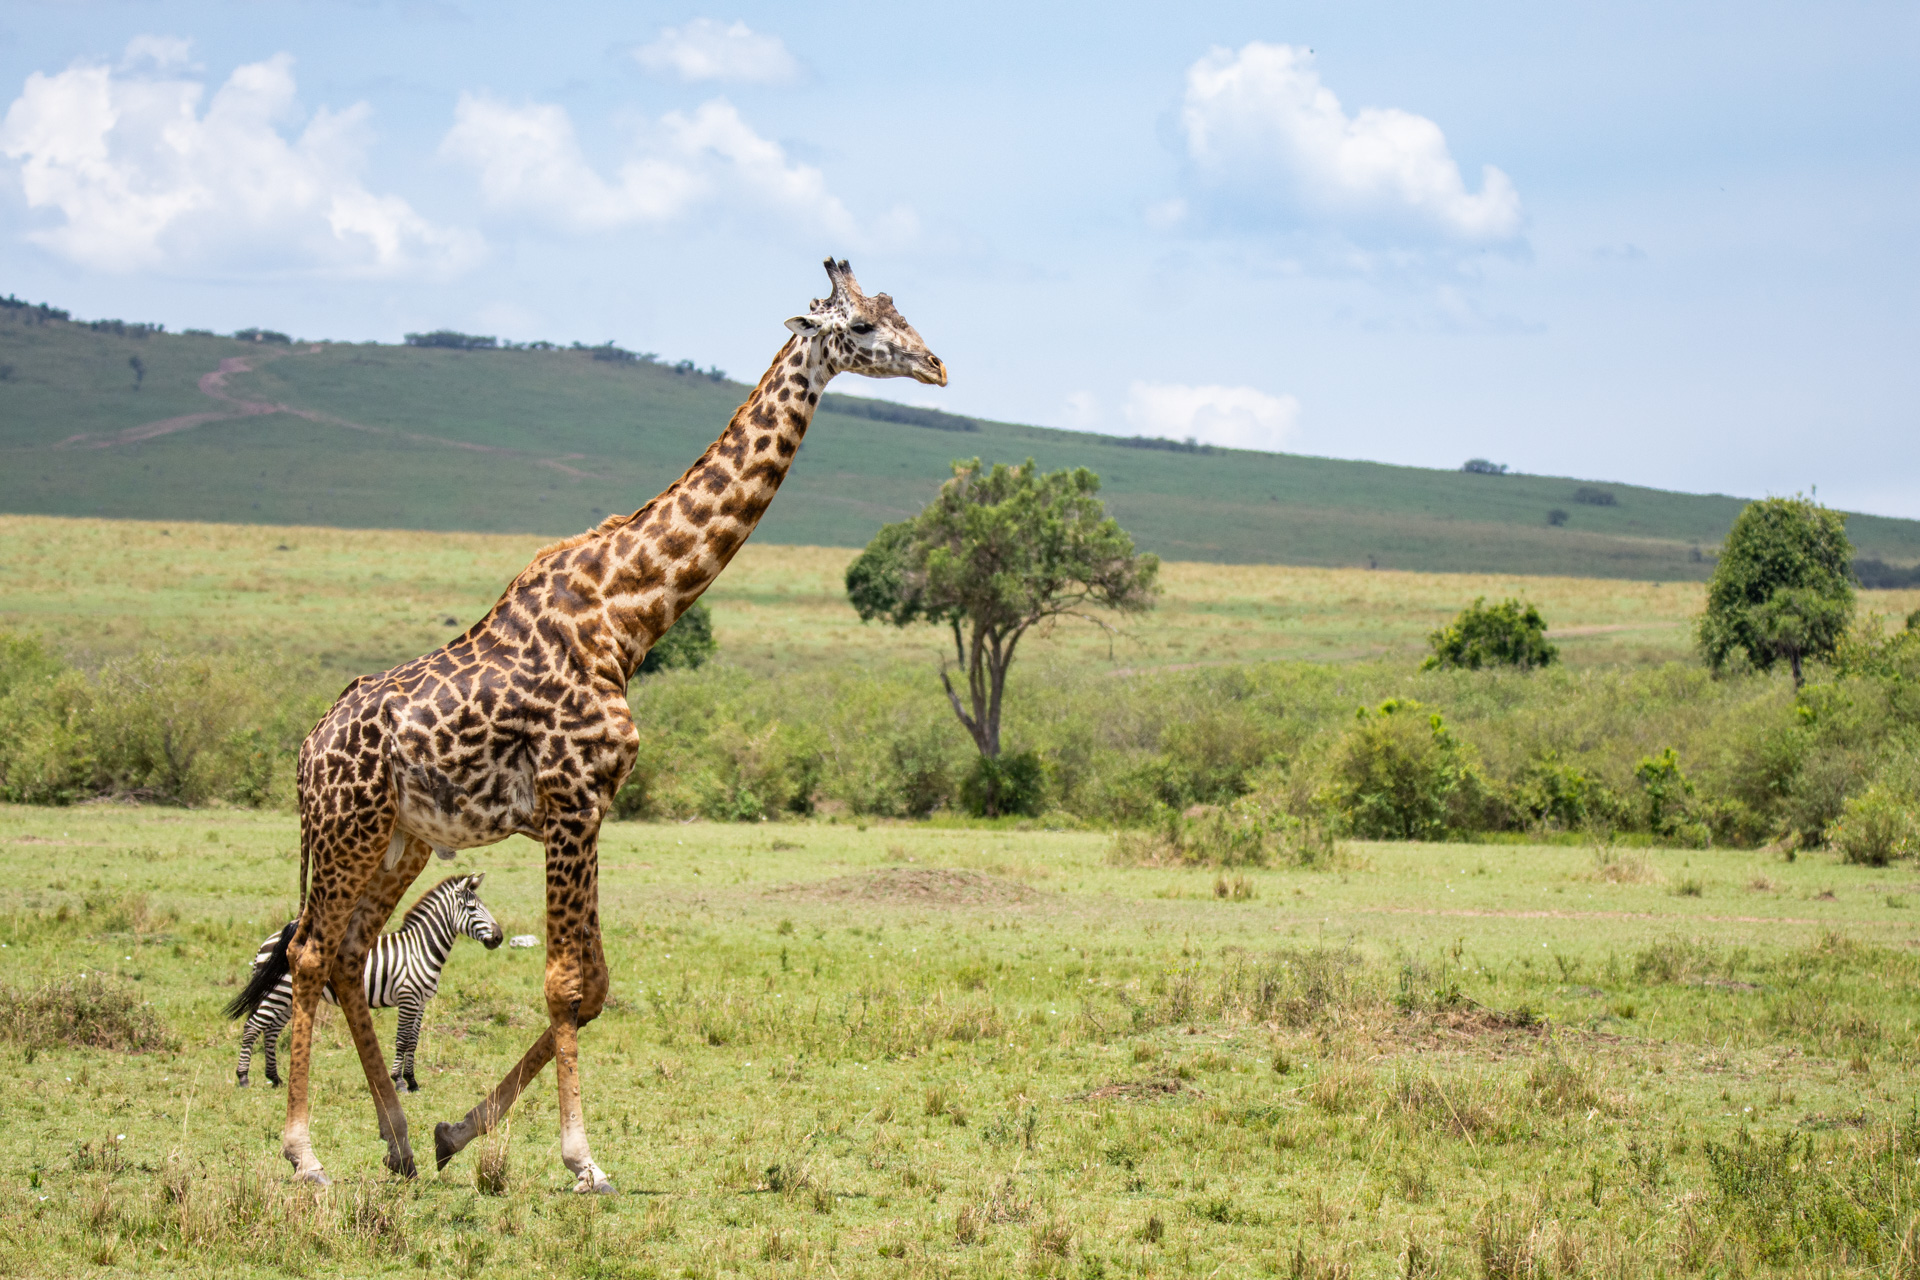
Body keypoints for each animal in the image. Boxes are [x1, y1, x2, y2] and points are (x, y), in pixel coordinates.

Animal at [226, 875, 503, 1097]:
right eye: (472, 908)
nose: (499, 937)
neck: (420, 948)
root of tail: (272, 938)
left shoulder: (421, 1002)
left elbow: (413, 1041)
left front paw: (413, 1082)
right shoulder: (408, 999)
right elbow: (402, 1041)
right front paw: (399, 1082)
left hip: (288, 996)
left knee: (270, 1031)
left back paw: (275, 1078)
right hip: (277, 993)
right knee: (252, 1027)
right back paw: (243, 1078)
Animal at [276, 257, 944, 1189]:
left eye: (897, 310)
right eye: (863, 328)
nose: (936, 365)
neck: (630, 613)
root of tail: (306, 752)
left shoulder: (591, 809)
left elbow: (592, 985)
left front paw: (456, 1131)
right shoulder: (572, 800)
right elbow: (565, 983)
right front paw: (581, 1159)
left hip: (400, 837)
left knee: (344, 951)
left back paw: (400, 1142)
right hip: (348, 827)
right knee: (307, 951)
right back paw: (305, 1155)